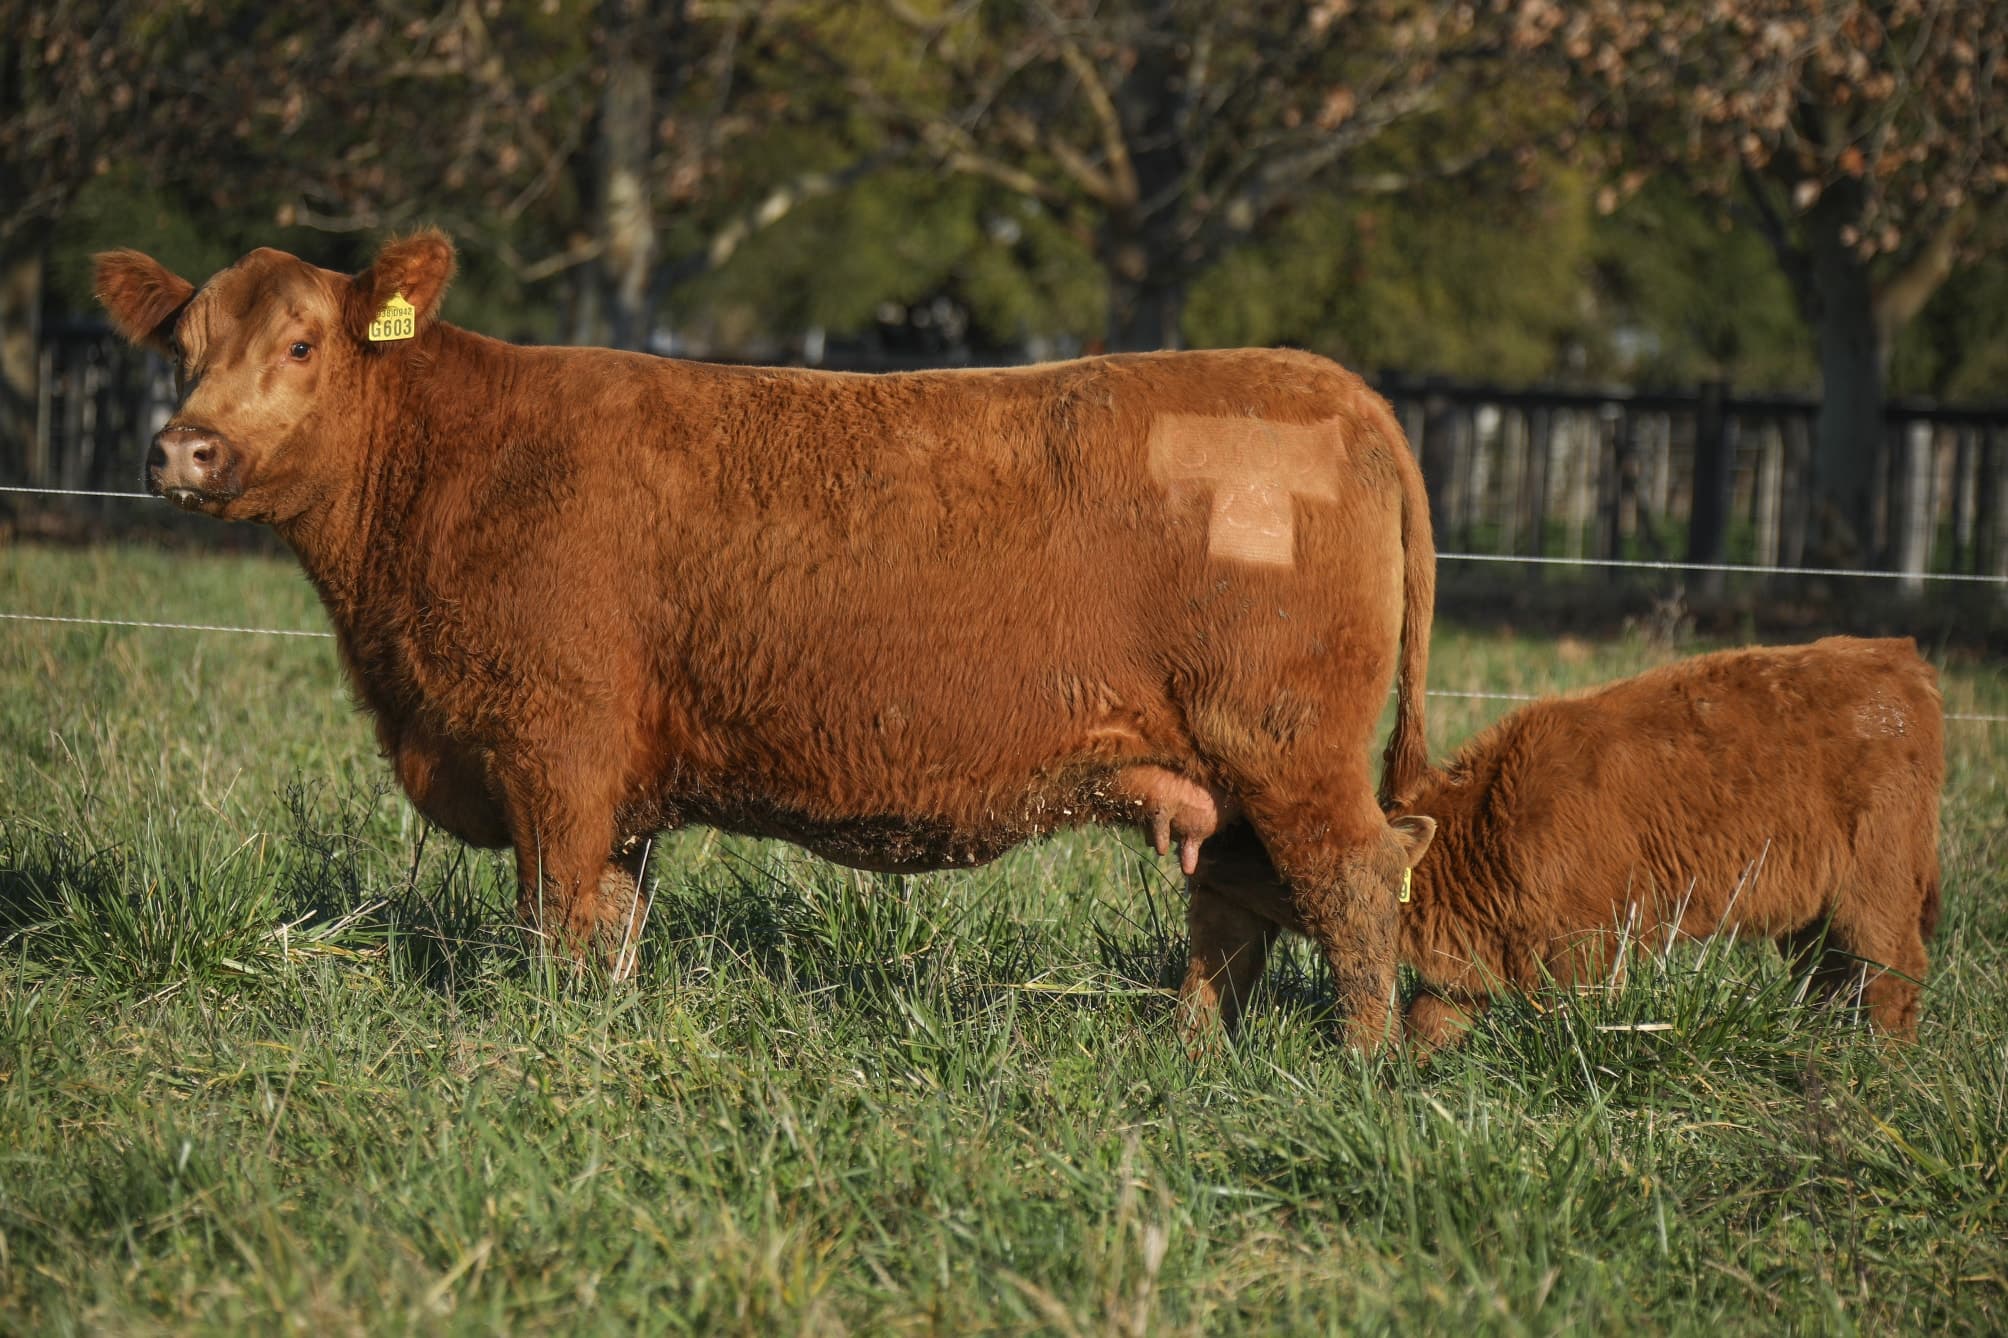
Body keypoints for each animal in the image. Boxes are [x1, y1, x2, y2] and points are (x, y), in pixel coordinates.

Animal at [94, 231, 1436, 1048]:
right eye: (182, 349)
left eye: (302, 344)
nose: (182, 448)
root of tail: (1338, 389)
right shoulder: (616, 786)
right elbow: (612, 927)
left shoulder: (555, 752)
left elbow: (550, 920)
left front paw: (549, 1038)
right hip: (1232, 772)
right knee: (1237, 904)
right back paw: (1187, 1050)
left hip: (1288, 748)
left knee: (1356, 879)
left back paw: (1354, 1063)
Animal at [1374, 637, 1943, 1049]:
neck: (1492, 819)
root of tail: (1899, 656)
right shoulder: (1476, 955)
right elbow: (1429, 1020)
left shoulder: (1591, 944)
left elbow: (1577, 1021)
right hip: (1811, 913)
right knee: (1830, 977)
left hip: (1875, 890)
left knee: (1892, 973)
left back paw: (1885, 1065)